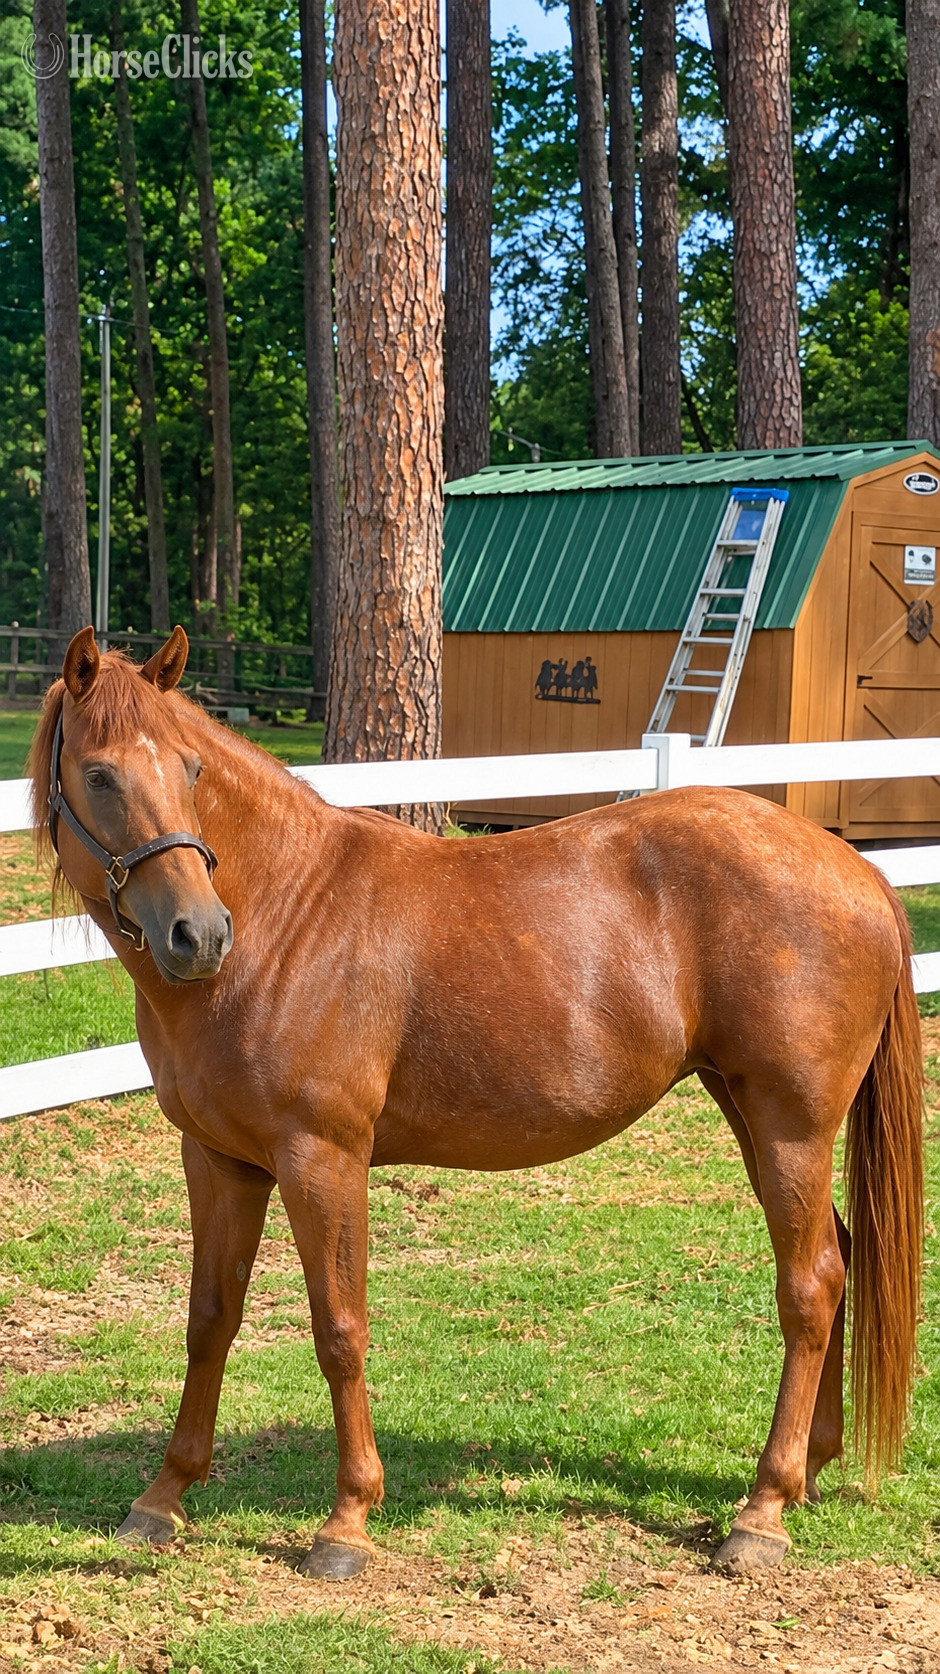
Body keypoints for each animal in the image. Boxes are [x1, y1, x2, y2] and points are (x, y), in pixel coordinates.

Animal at [27, 626, 923, 1582]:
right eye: (100, 775)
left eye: (191, 769)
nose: (199, 935)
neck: (286, 914)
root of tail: (858, 869)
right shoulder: (219, 1160)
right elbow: (209, 1321)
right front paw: (163, 1497)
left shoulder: (322, 1159)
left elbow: (339, 1329)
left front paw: (346, 1521)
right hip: (751, 1114)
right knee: (836, 1260)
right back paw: (807, 1474)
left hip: (792, 1126)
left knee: (810, 1284)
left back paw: (761, 1511)